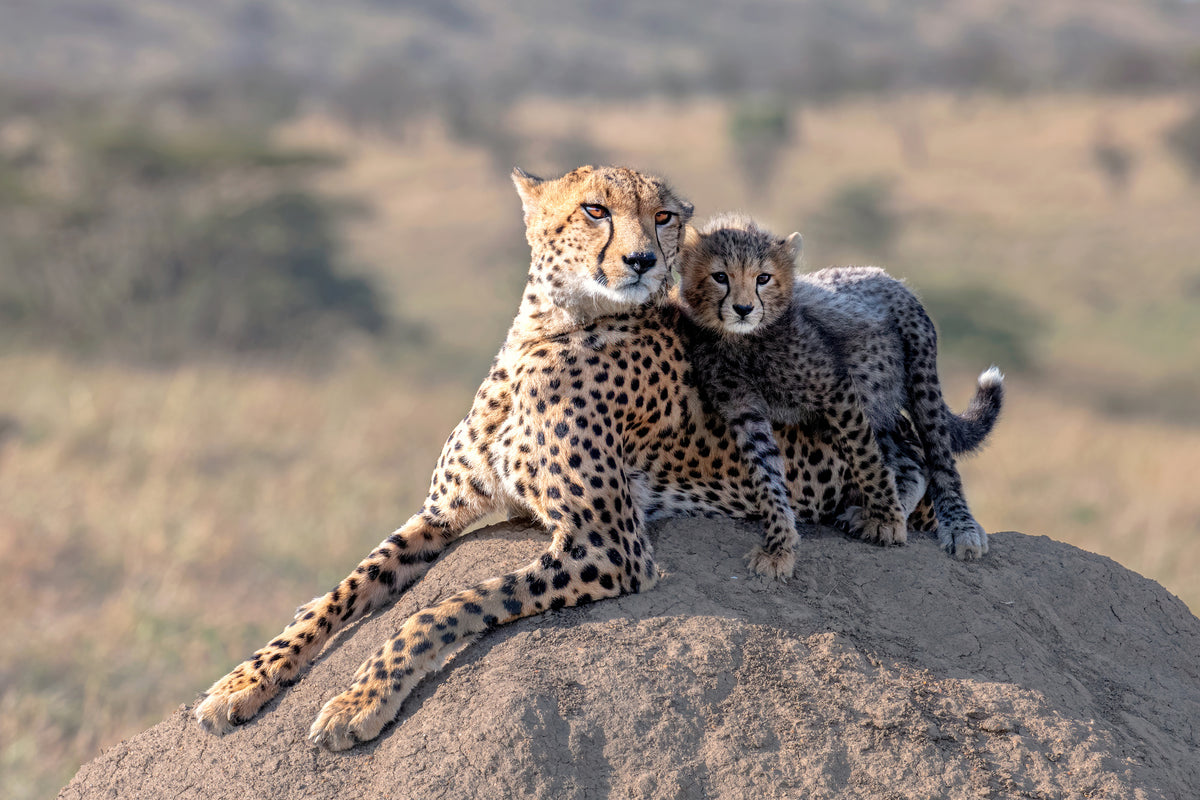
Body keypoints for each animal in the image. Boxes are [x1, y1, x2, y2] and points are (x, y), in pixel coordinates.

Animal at [677, 212, 1003, 569]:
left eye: (763, 278)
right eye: (720, 276)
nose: (743, 309)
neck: (743, 341)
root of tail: (884, 274)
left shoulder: (836, 391)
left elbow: (866, 459)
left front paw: (887, 521)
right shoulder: (743, 410)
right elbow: (766, 474)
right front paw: (779, 545)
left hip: (919, 378)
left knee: (939, 457)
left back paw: (958, 526)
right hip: (875, 402)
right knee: (909, 462)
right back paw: (884, 509)